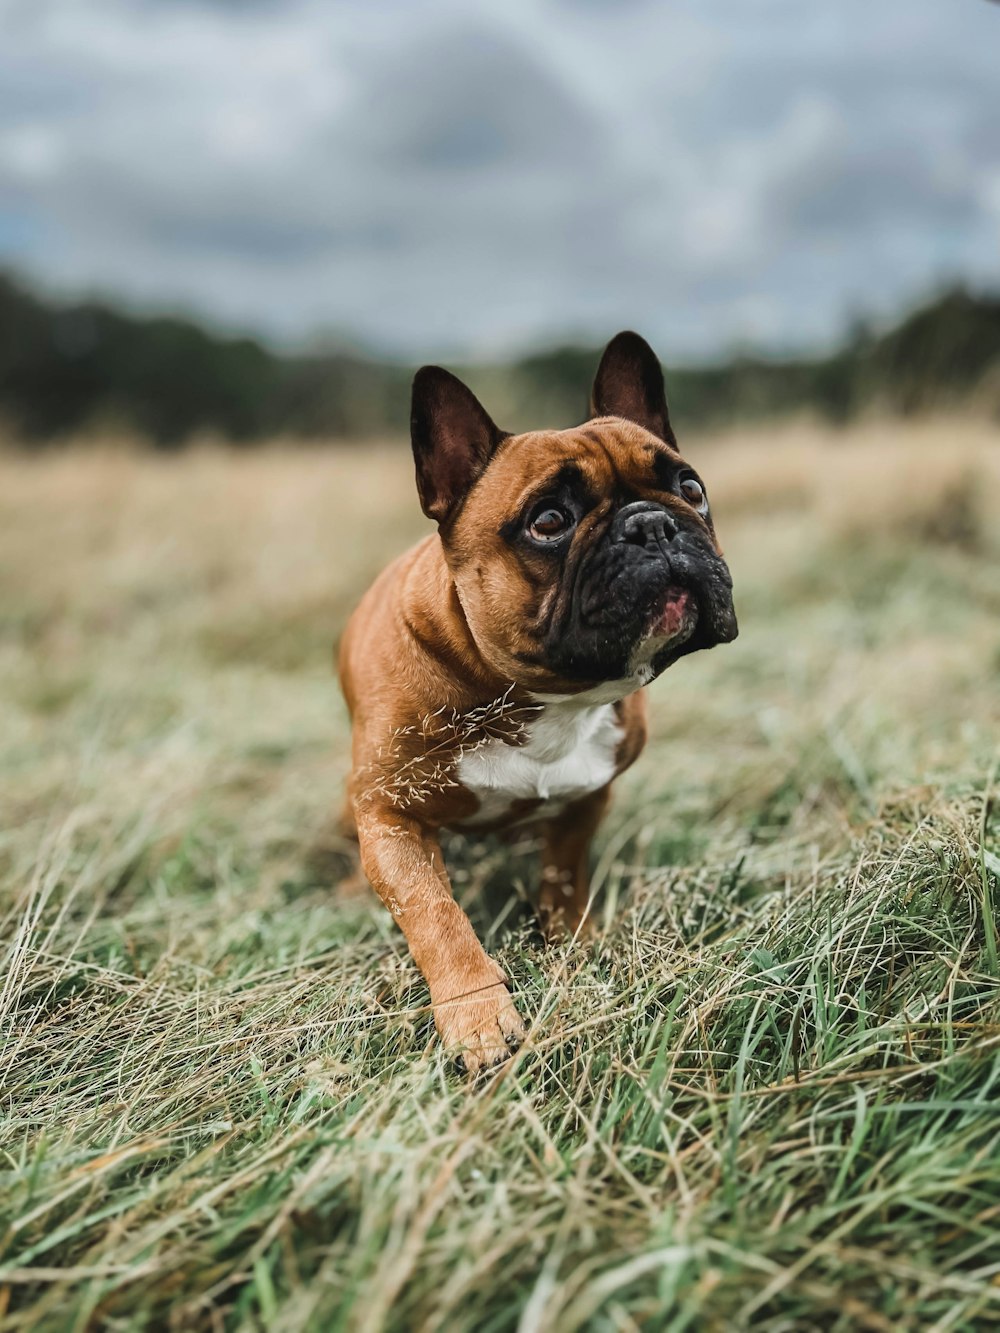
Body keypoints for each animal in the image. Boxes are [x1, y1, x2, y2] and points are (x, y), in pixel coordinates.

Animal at [341, 333, 741, 1071]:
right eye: (549, 521)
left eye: (691, 489)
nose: (654, 526)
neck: (544, 699)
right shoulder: (390, 817)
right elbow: (437, 916)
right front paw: (477, 1014)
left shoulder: (588, 797)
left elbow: (563, 876)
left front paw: (571, 947)